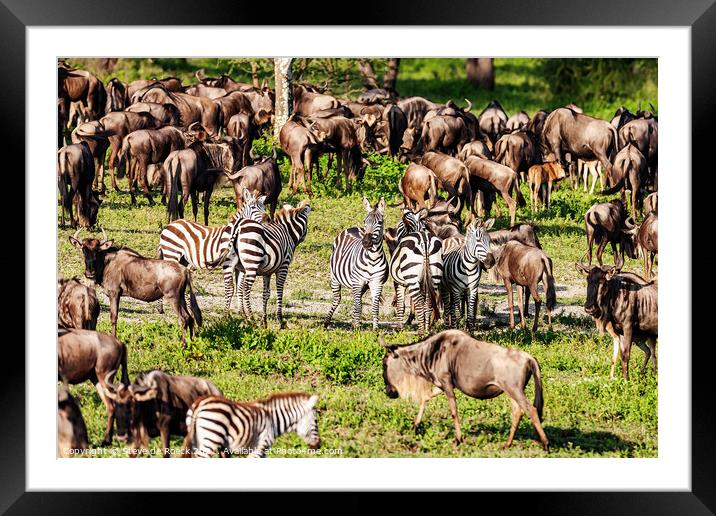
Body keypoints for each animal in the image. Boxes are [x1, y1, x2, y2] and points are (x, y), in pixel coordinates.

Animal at [183, 394, 320, 458]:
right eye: (316, 421)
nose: (318, 446)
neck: (273, 420)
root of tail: (199, 404)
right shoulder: (259, 447)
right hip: (211, 440)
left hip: (197, 440)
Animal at [326, 198, 388, 330]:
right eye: (365, 221)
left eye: (380, 222)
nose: (366, 242)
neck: (372, 259)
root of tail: (352, 228)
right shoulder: (357, 281)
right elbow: (359, 305)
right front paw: (357, 328)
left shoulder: (377, 283)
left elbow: (374, 308)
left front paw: (375, 329)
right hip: (335, 278)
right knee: (337, 299)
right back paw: (327, 322)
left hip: (361, 285)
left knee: (356, 300)